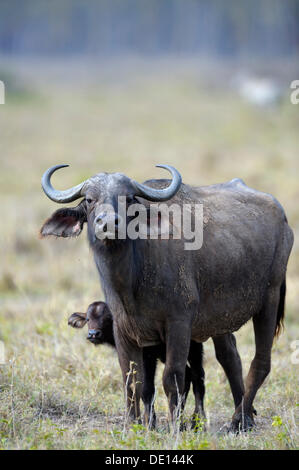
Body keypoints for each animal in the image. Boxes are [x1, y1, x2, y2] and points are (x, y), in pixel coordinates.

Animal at [40, 163, 296, 432]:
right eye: (89, 200)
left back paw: (239, 419)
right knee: (230, 358)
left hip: (270, 300)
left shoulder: (179, 325)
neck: (132, 281)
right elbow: (132, 381)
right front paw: (134, 425)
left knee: (261, 362)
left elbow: (173, 378)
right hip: (220, 320)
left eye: (129, 198)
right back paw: (244, 417)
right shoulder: (125, 330)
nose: (108, 223)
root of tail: (282, 218)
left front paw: (176, 425)